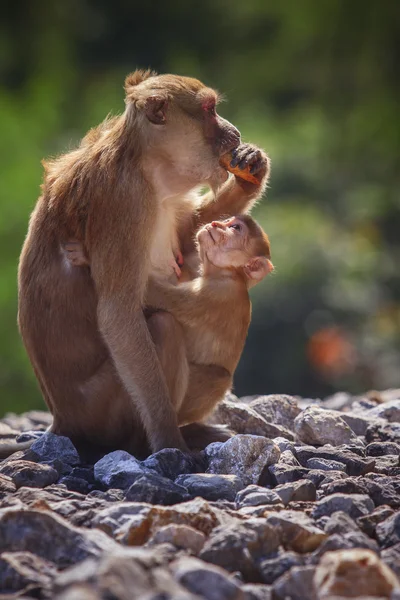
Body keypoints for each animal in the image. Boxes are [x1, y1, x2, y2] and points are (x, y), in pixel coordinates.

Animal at [1, 72, 268, 462]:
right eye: (209, 110)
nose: (233, 132)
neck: (145, 166)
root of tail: (62, 421)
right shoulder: (125, 203)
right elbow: (119, 313)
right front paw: (169, 441)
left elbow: (188, 237)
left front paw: (252, 171)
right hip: (103, 409)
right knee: (163, 328)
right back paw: (147, 445)